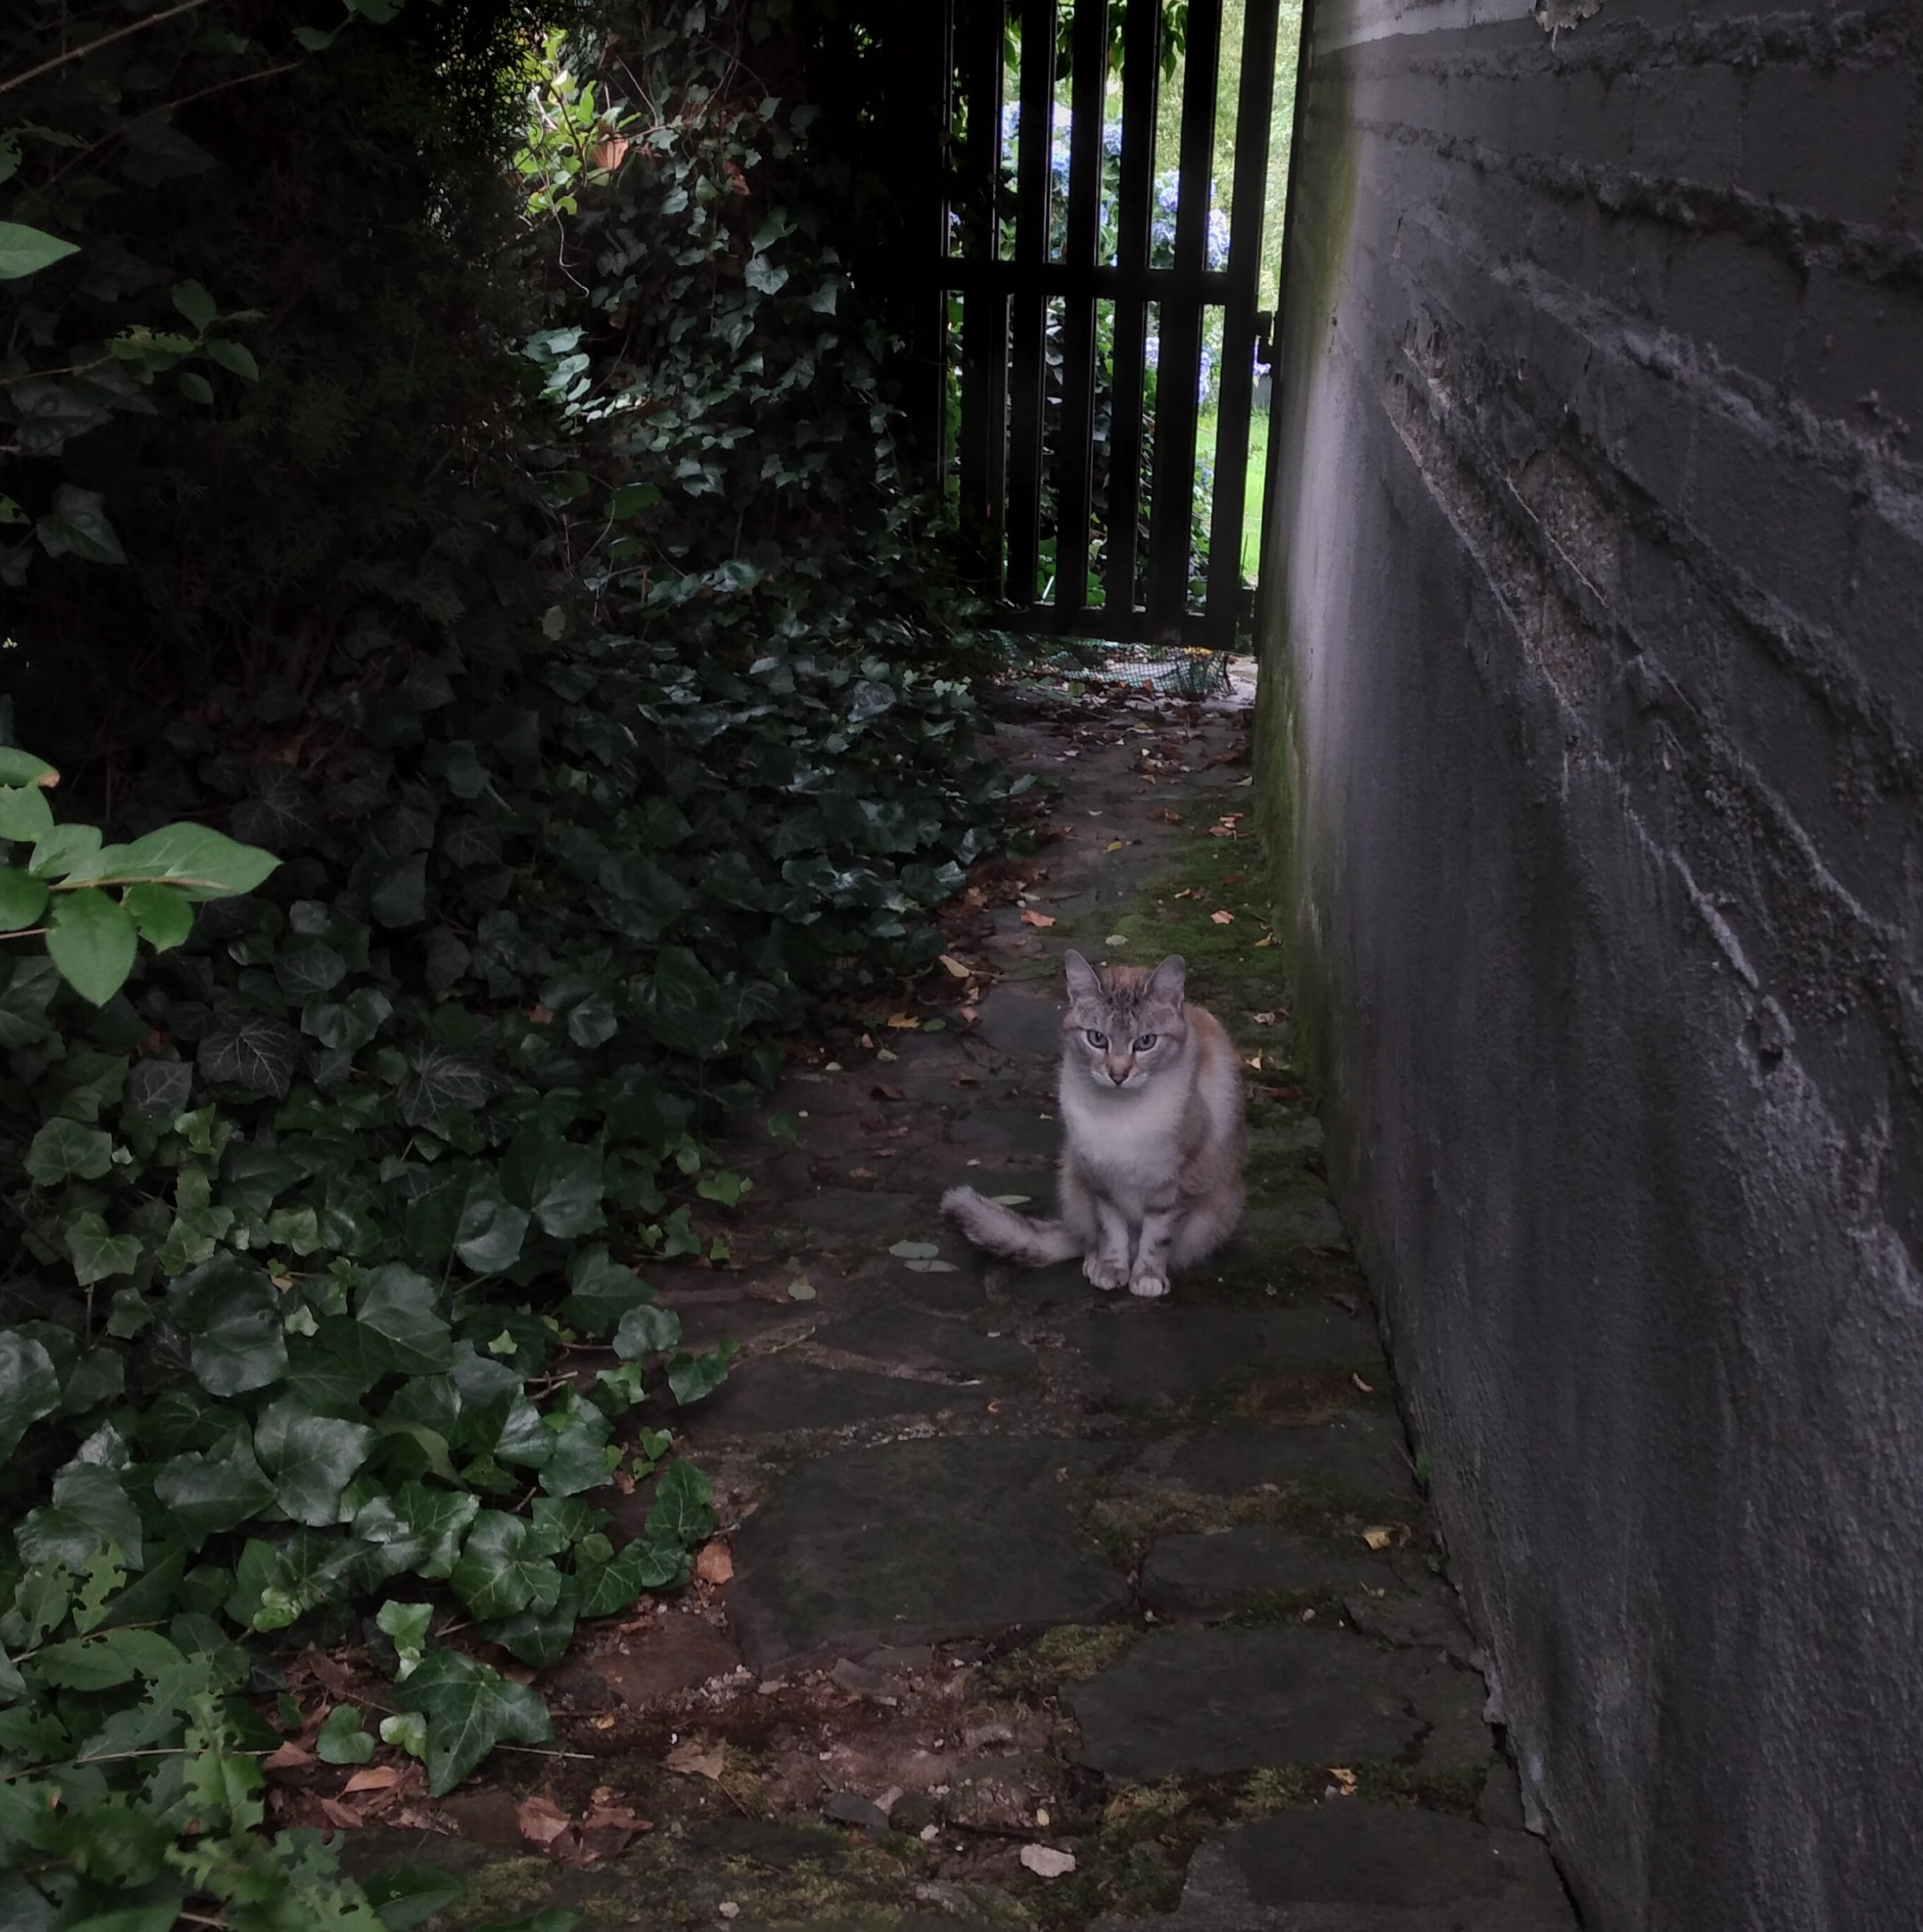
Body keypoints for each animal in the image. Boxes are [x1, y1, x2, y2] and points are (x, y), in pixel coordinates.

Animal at [943, 950, 1244, 1298]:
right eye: (1097, 1039)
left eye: (1145, 1042)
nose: (1118, 1074)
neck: (1121, 1115)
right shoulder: (1099, 1177)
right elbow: (1111, 1230)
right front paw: (1110, 1268)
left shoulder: (1177, 1184)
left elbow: (1157, 1237)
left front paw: (1147, 1276)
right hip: (1072, 1177)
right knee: (1087, 1236)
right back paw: (1092, 1259)